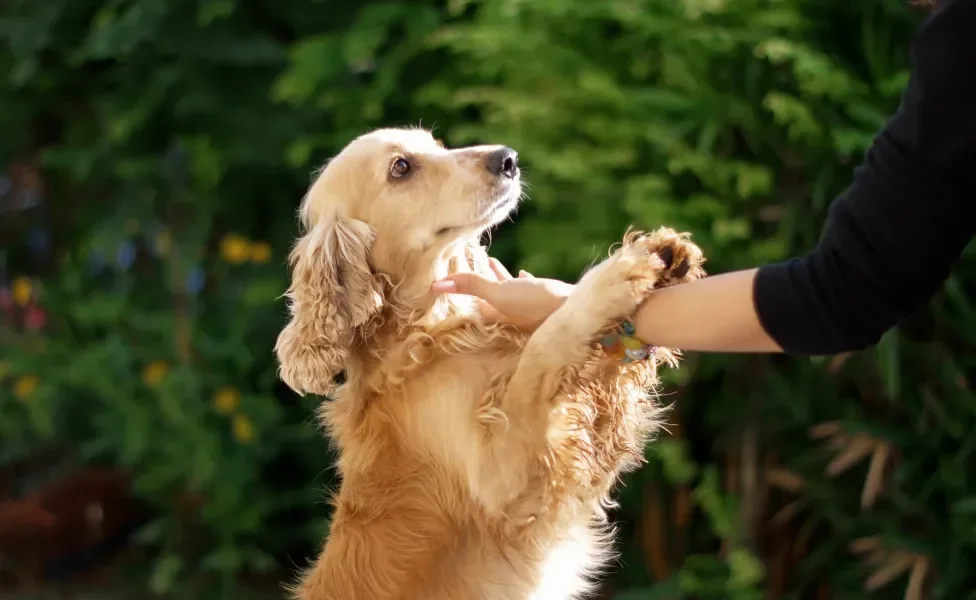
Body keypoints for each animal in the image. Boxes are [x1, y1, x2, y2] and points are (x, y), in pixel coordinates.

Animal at [272, 129, 700, 596]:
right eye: (401, 167)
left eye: (439, 145)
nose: (507, 159)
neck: (428, 332)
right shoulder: (506, 482)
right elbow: (545, 349)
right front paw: (615, 277)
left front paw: (666, 256)